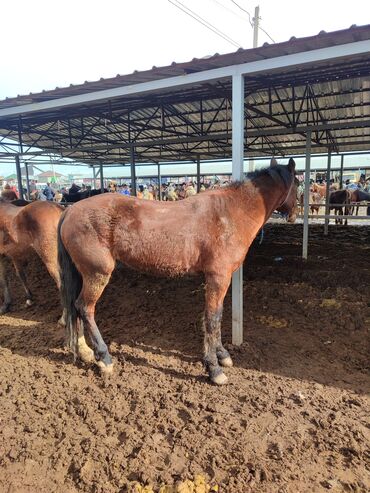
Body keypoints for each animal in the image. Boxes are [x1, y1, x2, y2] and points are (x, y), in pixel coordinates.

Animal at [57, 158, 300, 384]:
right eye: (298, 183)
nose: (293, 215)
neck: (231, 213)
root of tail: (70, 210)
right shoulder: (218, 277)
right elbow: (212, 318)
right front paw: (214, 368)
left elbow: (218, 315)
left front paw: (222, 355)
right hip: (97, 273)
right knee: (85, 308)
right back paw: (104, 358)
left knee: (76, 308)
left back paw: (86, 352)